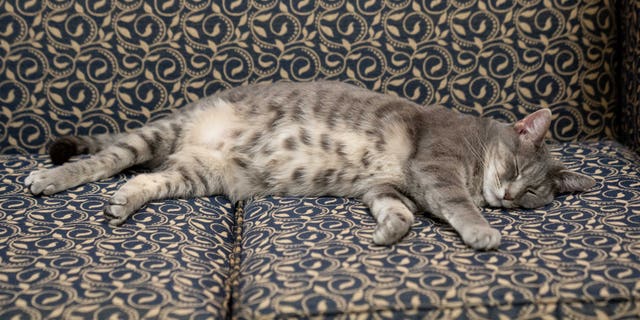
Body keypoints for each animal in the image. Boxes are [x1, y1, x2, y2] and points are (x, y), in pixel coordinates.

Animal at [25, 80, 596, 250]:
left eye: (532, 194)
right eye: (517, 172)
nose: (509, 197)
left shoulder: (386, 187)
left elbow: (400, 213)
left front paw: (388, 233)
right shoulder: (435, 168)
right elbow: (458, 206)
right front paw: (482, 230)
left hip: (193, 174)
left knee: (145, 179)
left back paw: (124, 202)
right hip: (154, 136)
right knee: (103, 160)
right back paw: (50, 177)